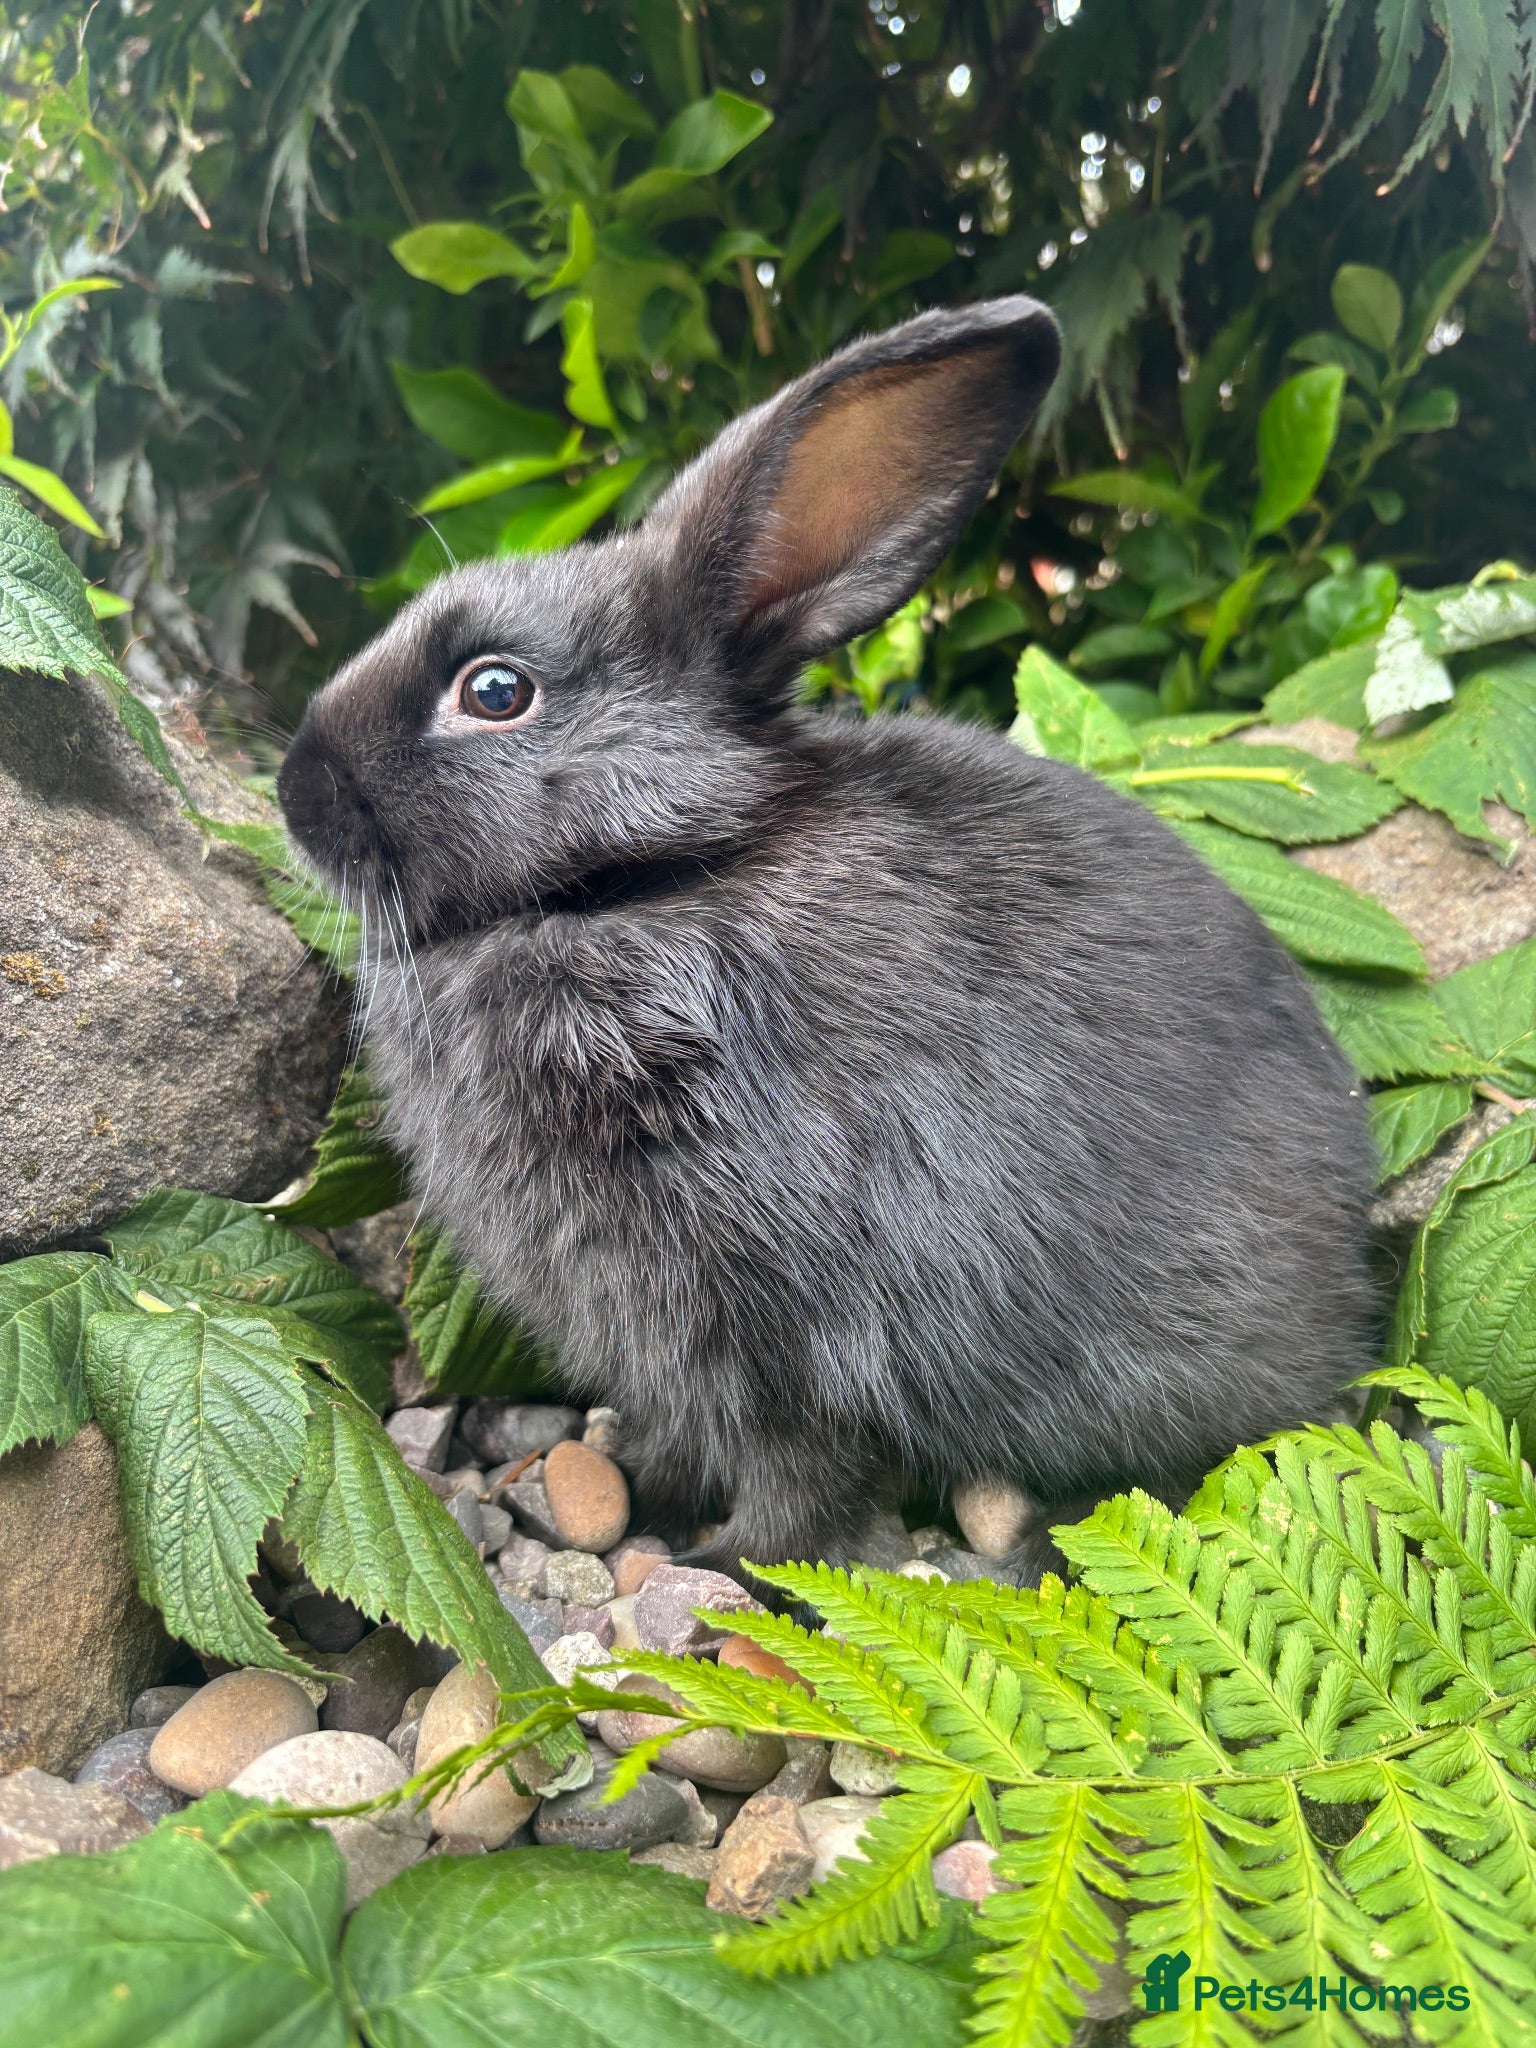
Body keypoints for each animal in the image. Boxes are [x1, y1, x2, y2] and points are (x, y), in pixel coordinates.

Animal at [278, 295, 1378, 1588]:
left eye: (494, 690)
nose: (296, 785)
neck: (628, 887)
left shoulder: (773, 1318)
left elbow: (797, 1467)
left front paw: (729, 1560)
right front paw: (635, 1481)